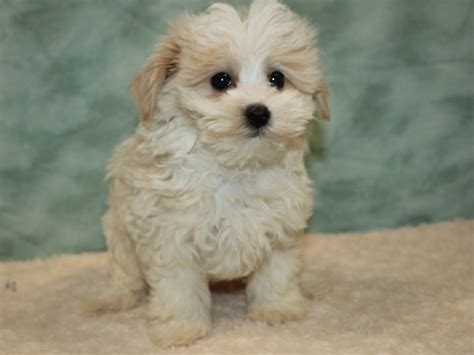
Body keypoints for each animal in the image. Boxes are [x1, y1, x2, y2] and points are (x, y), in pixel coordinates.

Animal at [95, 0, 330, 350]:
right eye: (221, 80)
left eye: (277, 78)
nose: (259, 112)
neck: (234, 167)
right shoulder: (171, 235)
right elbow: (178, 288)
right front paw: (181, 329)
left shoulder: (282, 227)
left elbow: (277, 272)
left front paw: (277, 308)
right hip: (119, 230)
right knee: (125, 273)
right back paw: (115, 298)